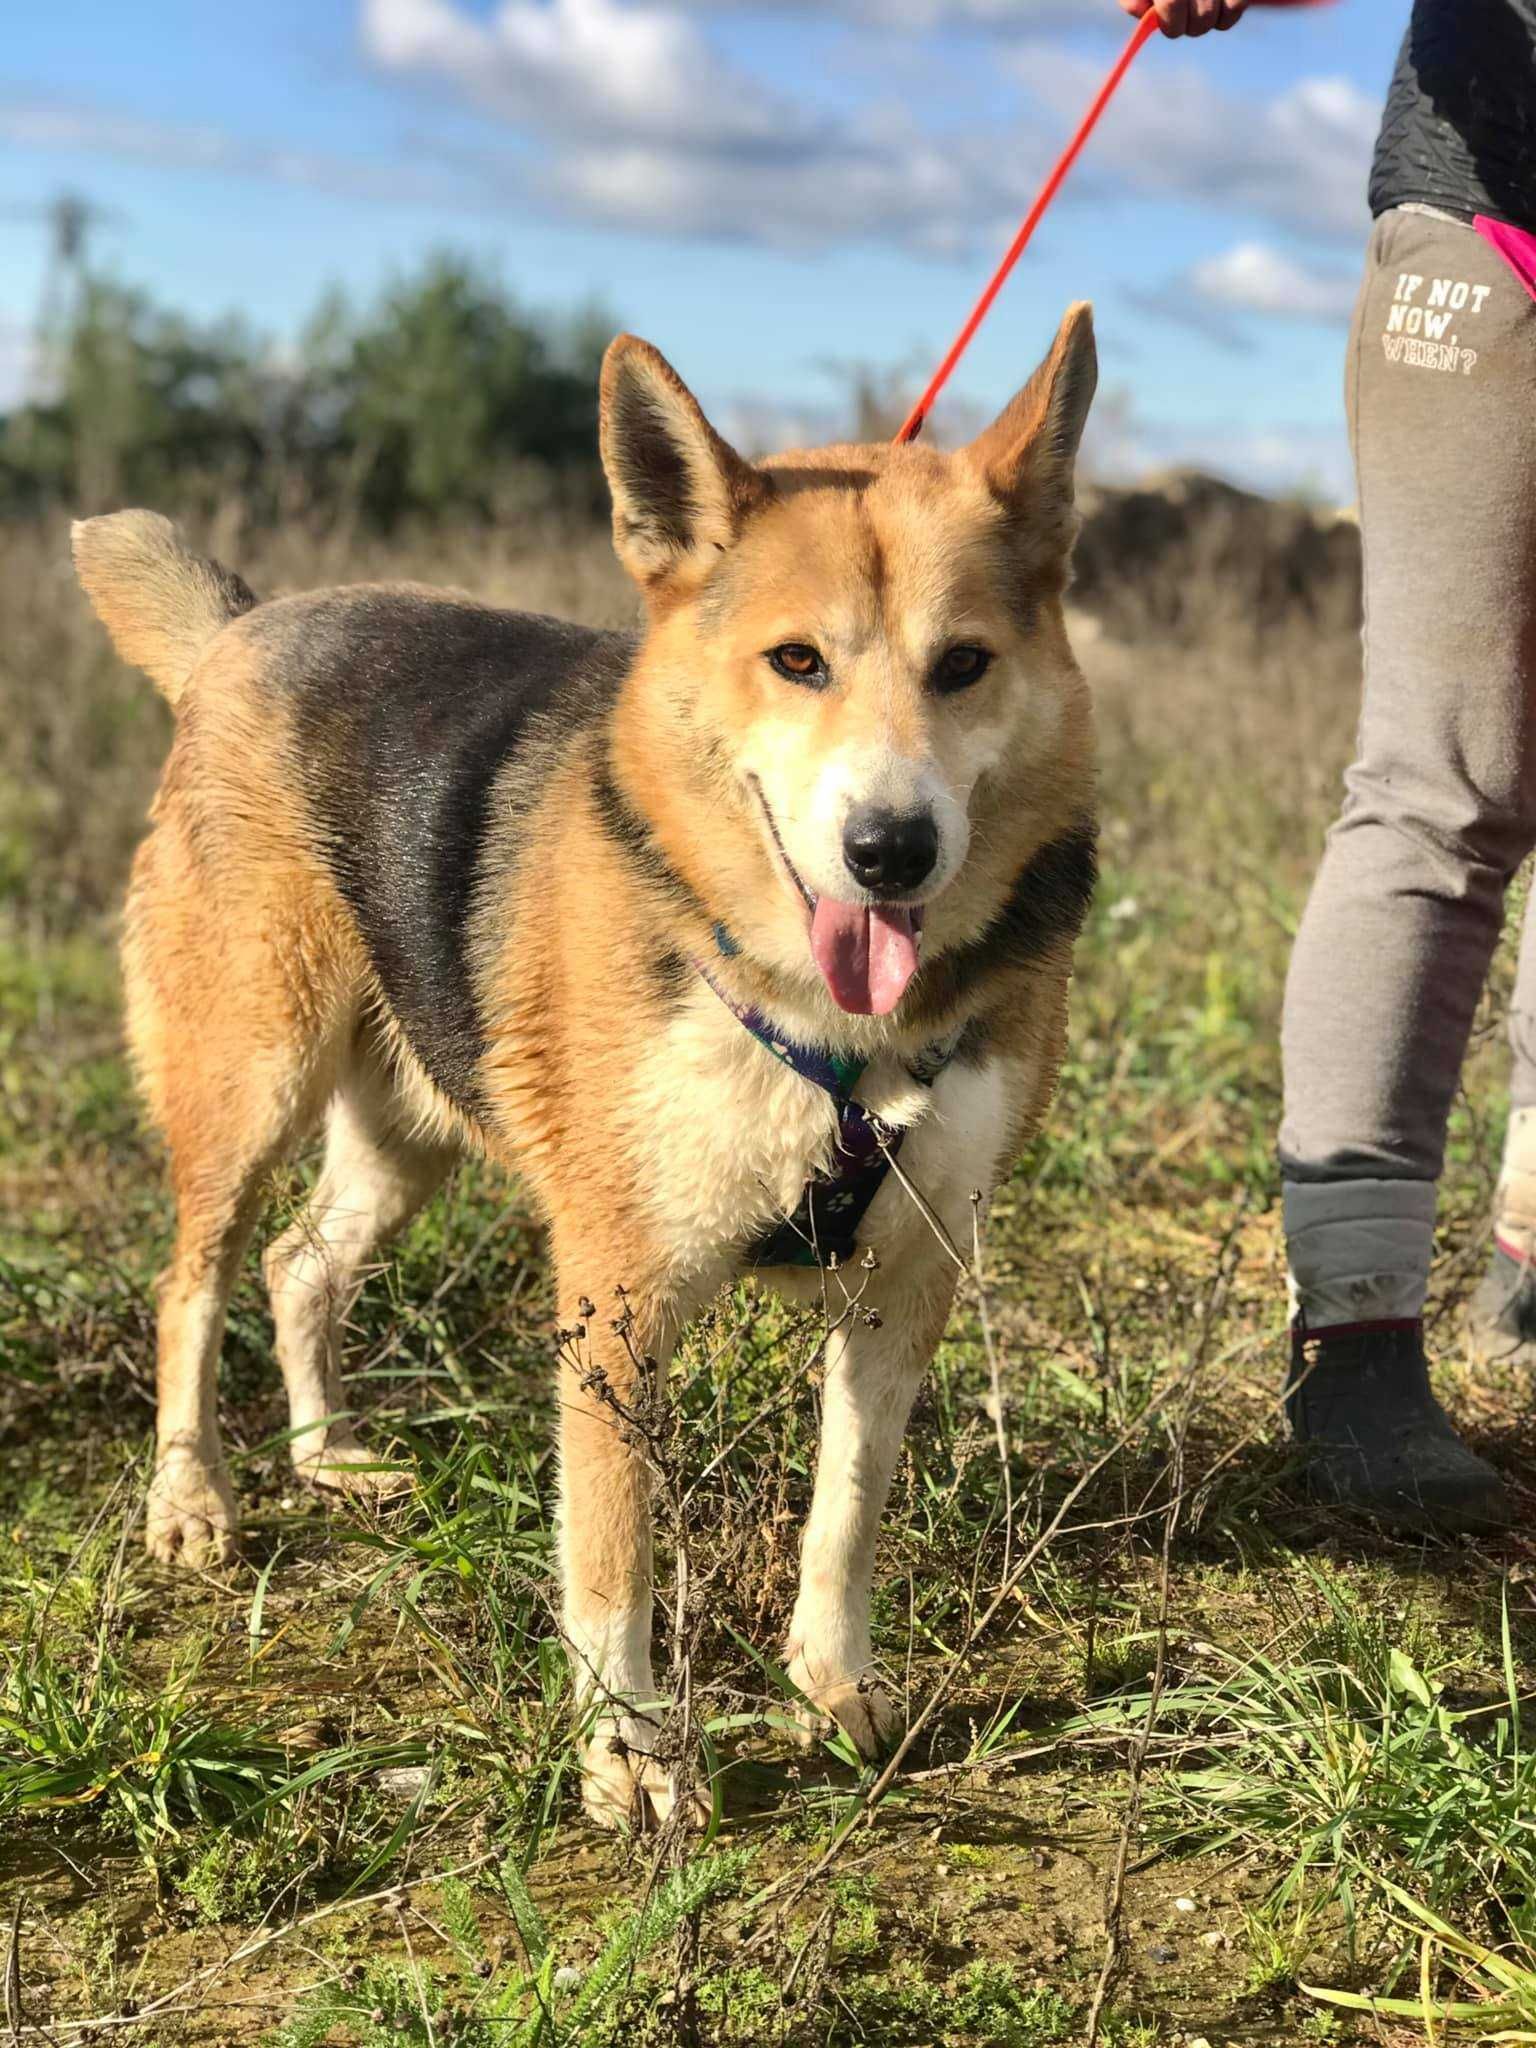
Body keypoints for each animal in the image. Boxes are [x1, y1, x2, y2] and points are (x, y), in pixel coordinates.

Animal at [72, 311, 1097, 1835]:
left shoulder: (909, 1275)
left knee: (300, 1267)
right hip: (251, 1080)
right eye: (797, 662)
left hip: (410, 1130)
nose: (892, 850)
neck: (826, 1028)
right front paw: (630, 1756)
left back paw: (329, 1456)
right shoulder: (617, 1298)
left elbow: (846, 1512)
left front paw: (831, 1687)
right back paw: (192, 1501)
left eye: (964, 664)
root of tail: (246, 628)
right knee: (191, 1285)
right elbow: (612, 1556)